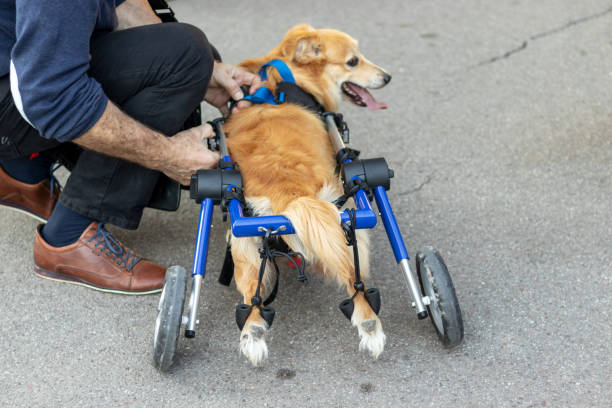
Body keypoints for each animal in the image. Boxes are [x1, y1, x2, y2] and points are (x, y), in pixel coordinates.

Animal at [225, 23, 392, 364]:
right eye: (353, 61)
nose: (387, 77)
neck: (287, 77)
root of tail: (292, 193)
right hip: (347, 225)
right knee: (355, 280)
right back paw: (369, 325)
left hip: (244, 243)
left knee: (251, 295)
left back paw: (253, 334)